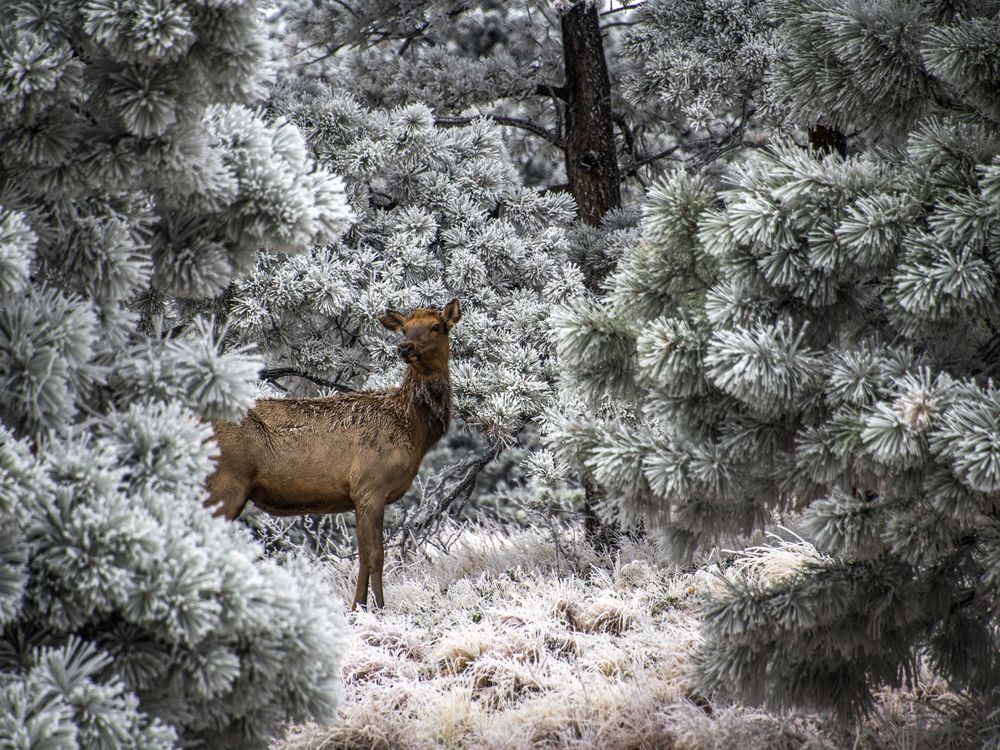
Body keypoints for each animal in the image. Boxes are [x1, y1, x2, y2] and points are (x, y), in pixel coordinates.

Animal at [204, 299, 462, 610]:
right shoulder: (370, 486)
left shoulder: (359, 496)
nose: (405, 348)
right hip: (226, 482)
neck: (414, 428)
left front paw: (358, 607)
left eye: (436, 326)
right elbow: (376, 556)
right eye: (406, 329)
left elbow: (362, 556)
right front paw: (380, 609)